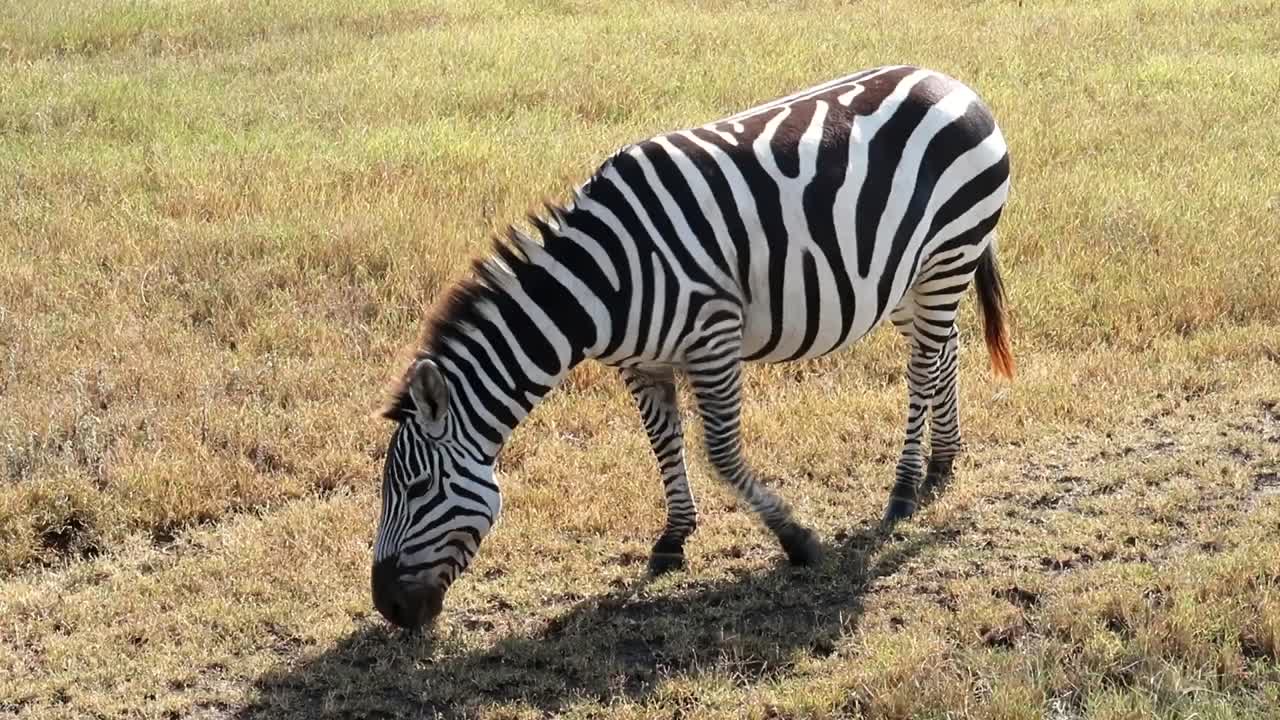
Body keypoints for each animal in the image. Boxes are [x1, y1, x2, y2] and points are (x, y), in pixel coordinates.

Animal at [371, 65, 1013, 629]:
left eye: (417, 488)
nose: (387, 607)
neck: (604, 281)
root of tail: (951, 81)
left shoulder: (713, 338)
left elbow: (721, 454)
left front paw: (797, 540)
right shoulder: (640, 364)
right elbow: (663, 445)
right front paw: (673, 538)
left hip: (950, 249)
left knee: (923, 365)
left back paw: (905, 487)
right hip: (908, 277)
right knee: (945, 348)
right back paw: (943, 459)